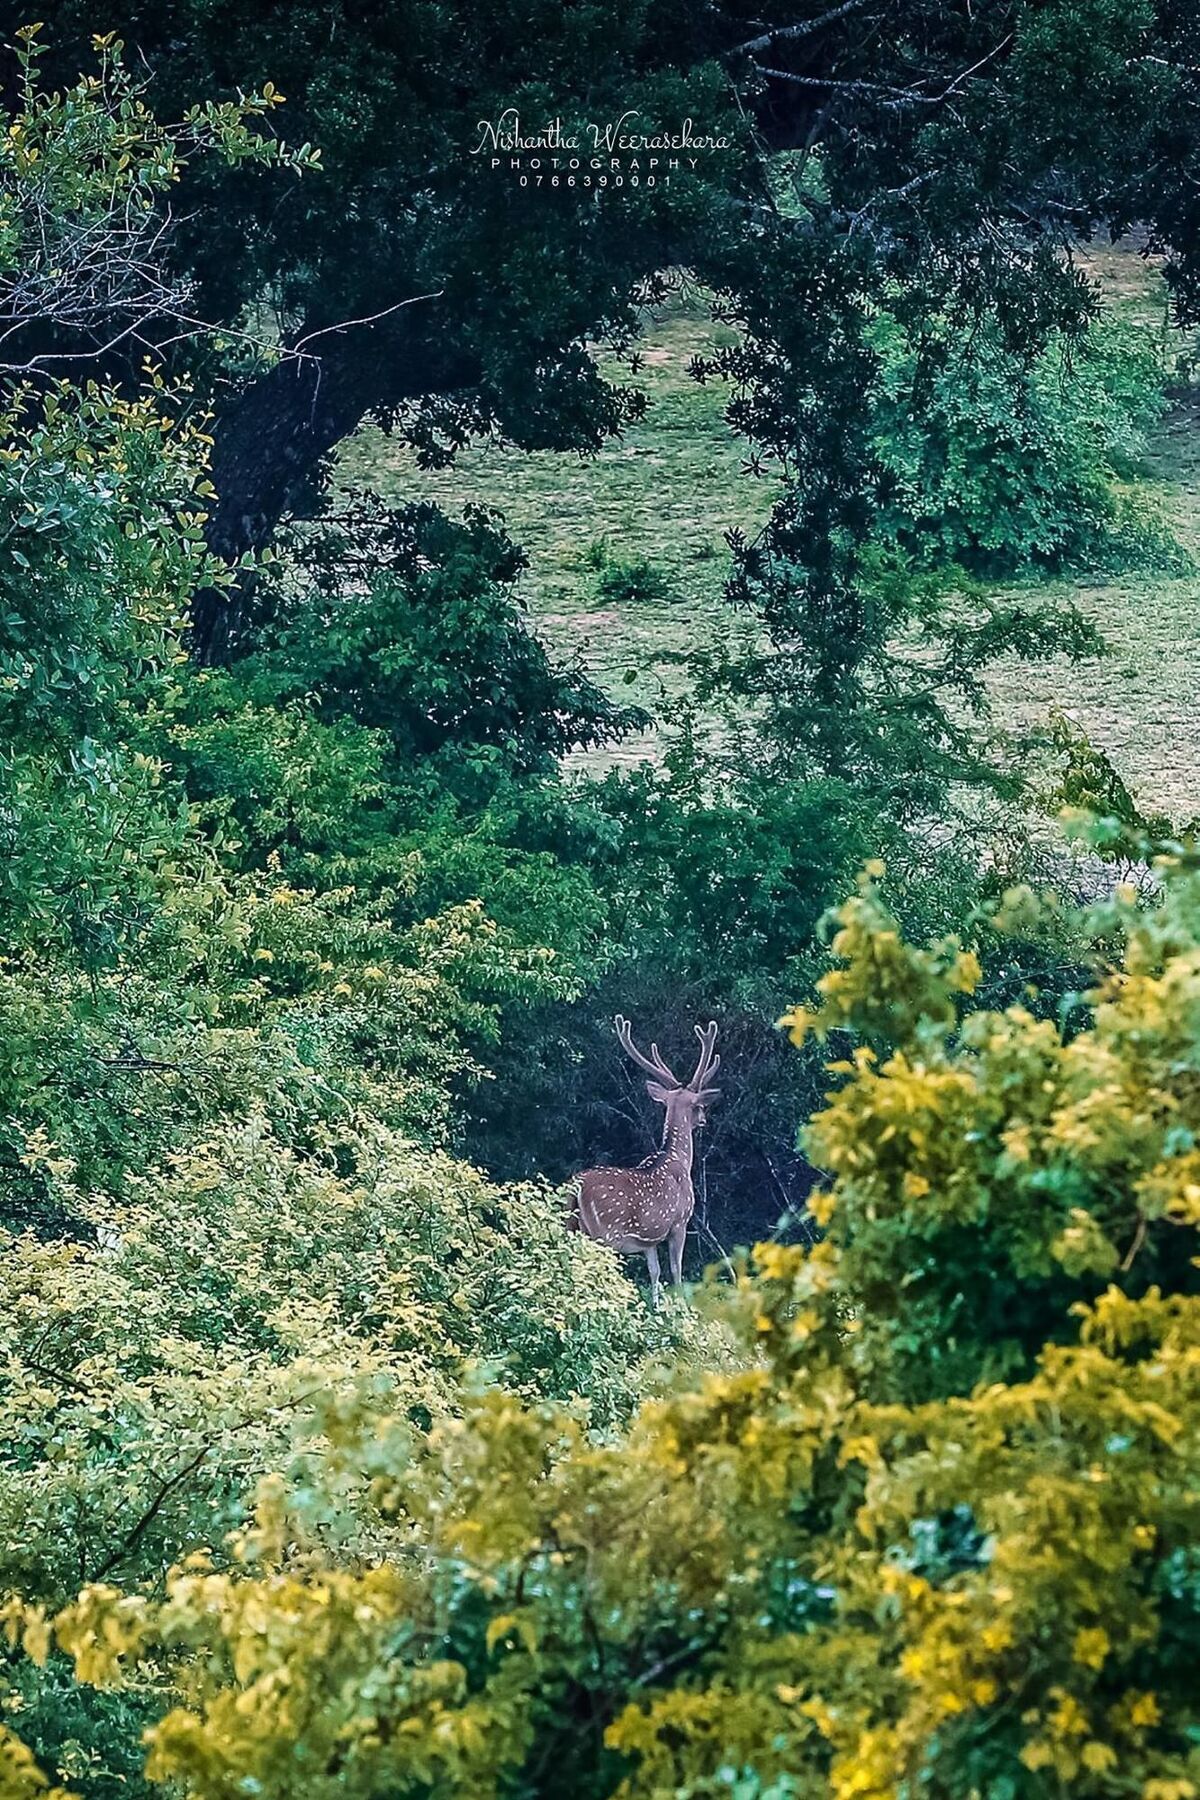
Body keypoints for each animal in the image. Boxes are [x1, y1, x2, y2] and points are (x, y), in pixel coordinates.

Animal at [568, 1015, 719, 1310]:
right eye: (700, 1106)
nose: (705, 1119)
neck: (679, 1161)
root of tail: (576, 1188)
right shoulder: (679, 1222)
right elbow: (676, 1271)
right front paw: (680, 1311)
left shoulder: (649, 1240)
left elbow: (654, 1272)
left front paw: (657, 1309)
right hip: (605, 1233)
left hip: (569, 1225)